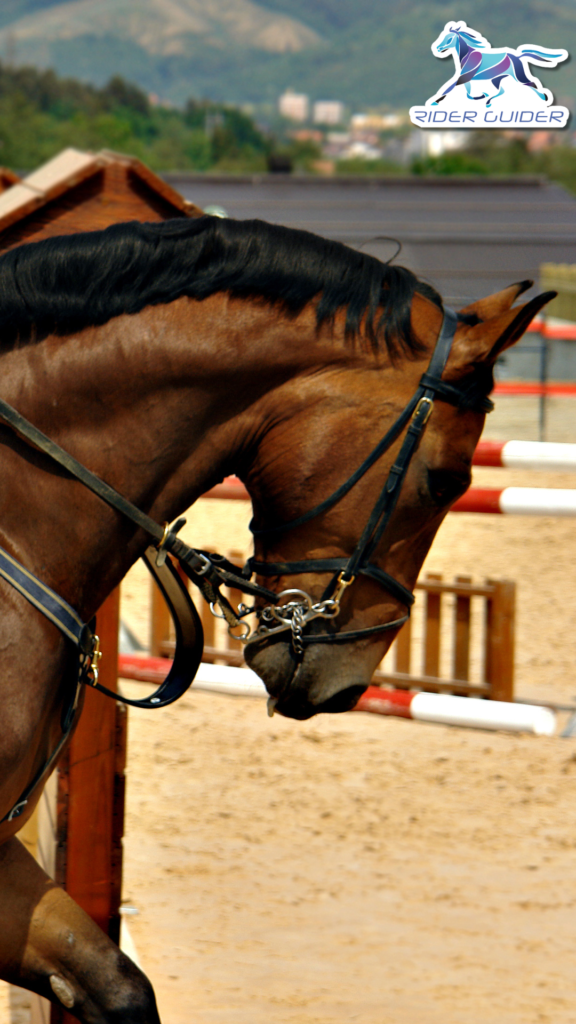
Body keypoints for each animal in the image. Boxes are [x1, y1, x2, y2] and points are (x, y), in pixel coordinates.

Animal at [431, 23, 566, 107]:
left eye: (449, 39)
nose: (437, 48)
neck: (468, 55)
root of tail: (518, 57)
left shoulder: (463, 77)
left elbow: (450, 88)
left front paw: (435, 102)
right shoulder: (466, 77)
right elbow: (467, 91)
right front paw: (480, 96)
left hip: (517, 76)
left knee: (531, 84)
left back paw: (544, 98)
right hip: (496, 79)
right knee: (501, 90)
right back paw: (488, 101)